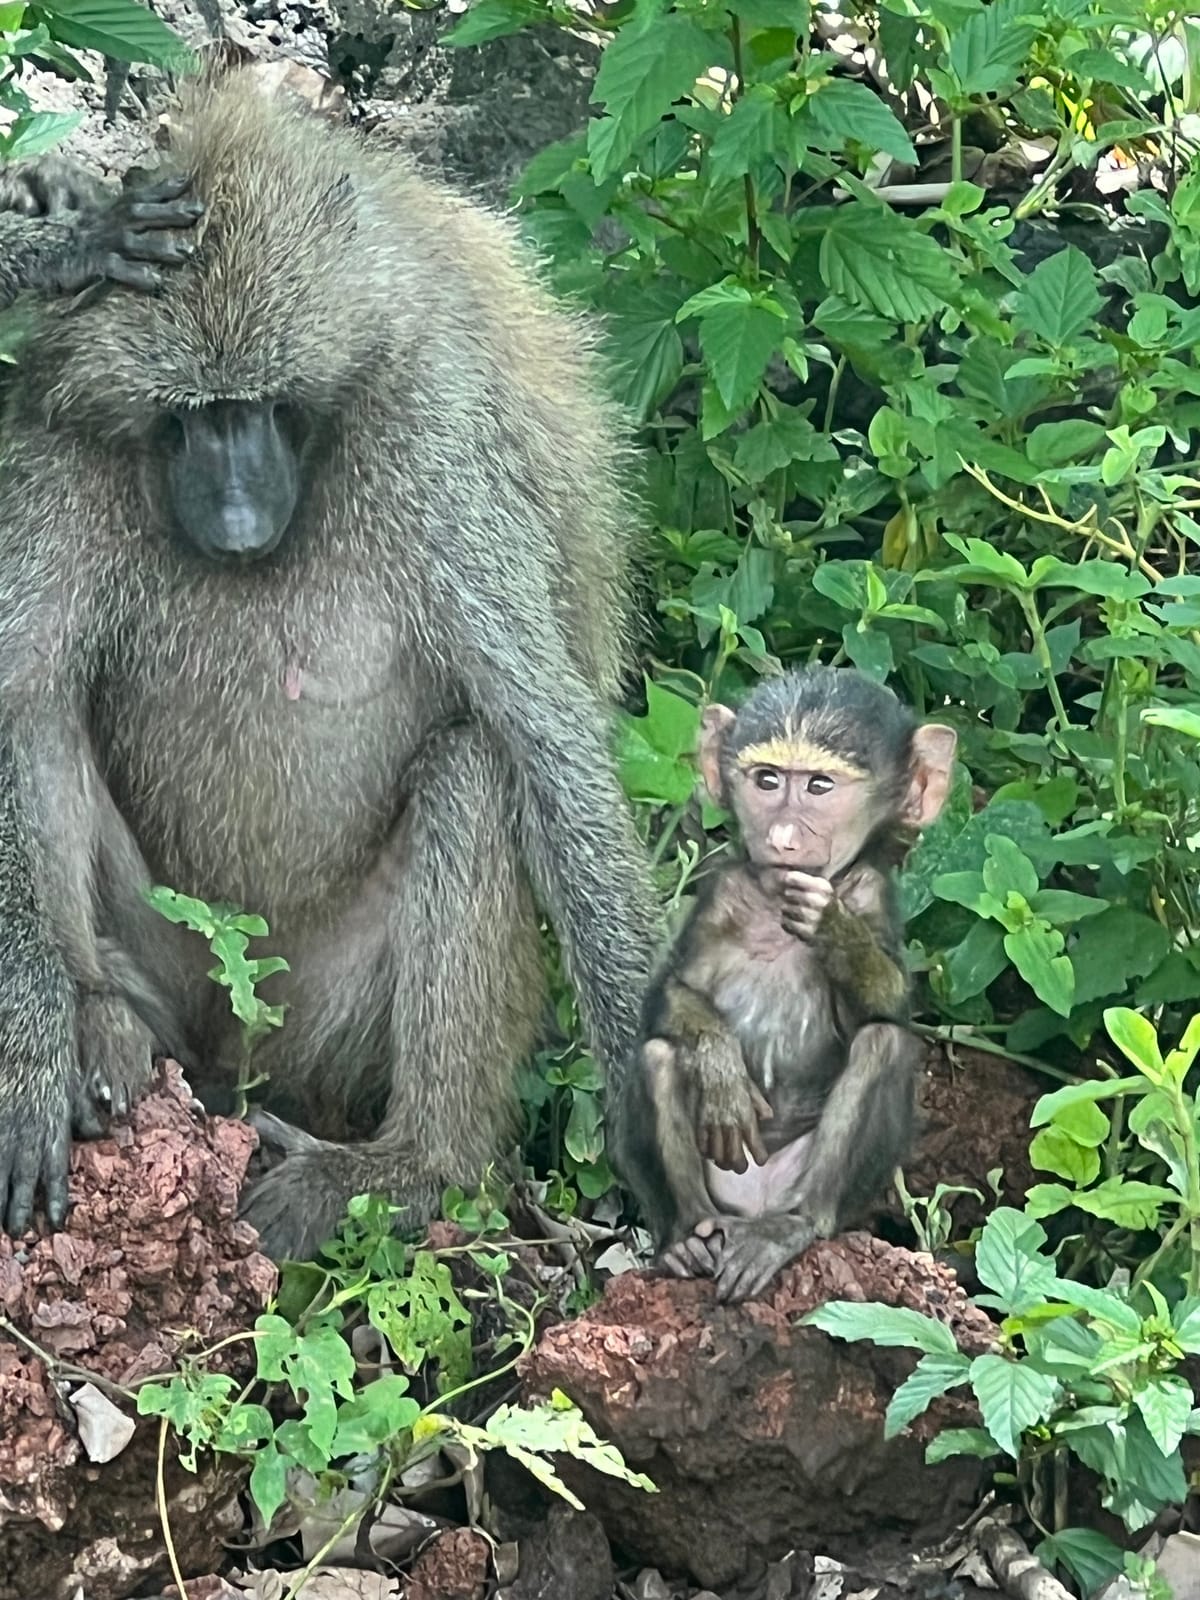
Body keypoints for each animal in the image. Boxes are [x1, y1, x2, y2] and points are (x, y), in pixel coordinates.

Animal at [0, 65, 661, 1262]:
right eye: (188, 417)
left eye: (266, 404)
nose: (237, 516)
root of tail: (235, 1059)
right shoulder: (57, 443)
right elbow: (9, 694)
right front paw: (29, 1067)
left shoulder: (430, 437)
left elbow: (543, 734)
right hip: (179, 964)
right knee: (40, 717)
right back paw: (99, 1027)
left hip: (322, 1021)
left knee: (474, 770)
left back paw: (410, 1168)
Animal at [614, 666, 957, 1304]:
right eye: (767, 780)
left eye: (820, 786)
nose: (782, 838)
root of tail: (754, 1206)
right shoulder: (720, 892)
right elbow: (665, 998)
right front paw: (719, 1066)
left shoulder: (872, 891)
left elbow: (893, 1005)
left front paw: (833, 931)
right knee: (657, 1056)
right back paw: (686, 1238)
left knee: (882, 1045)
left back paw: (792, 1226)